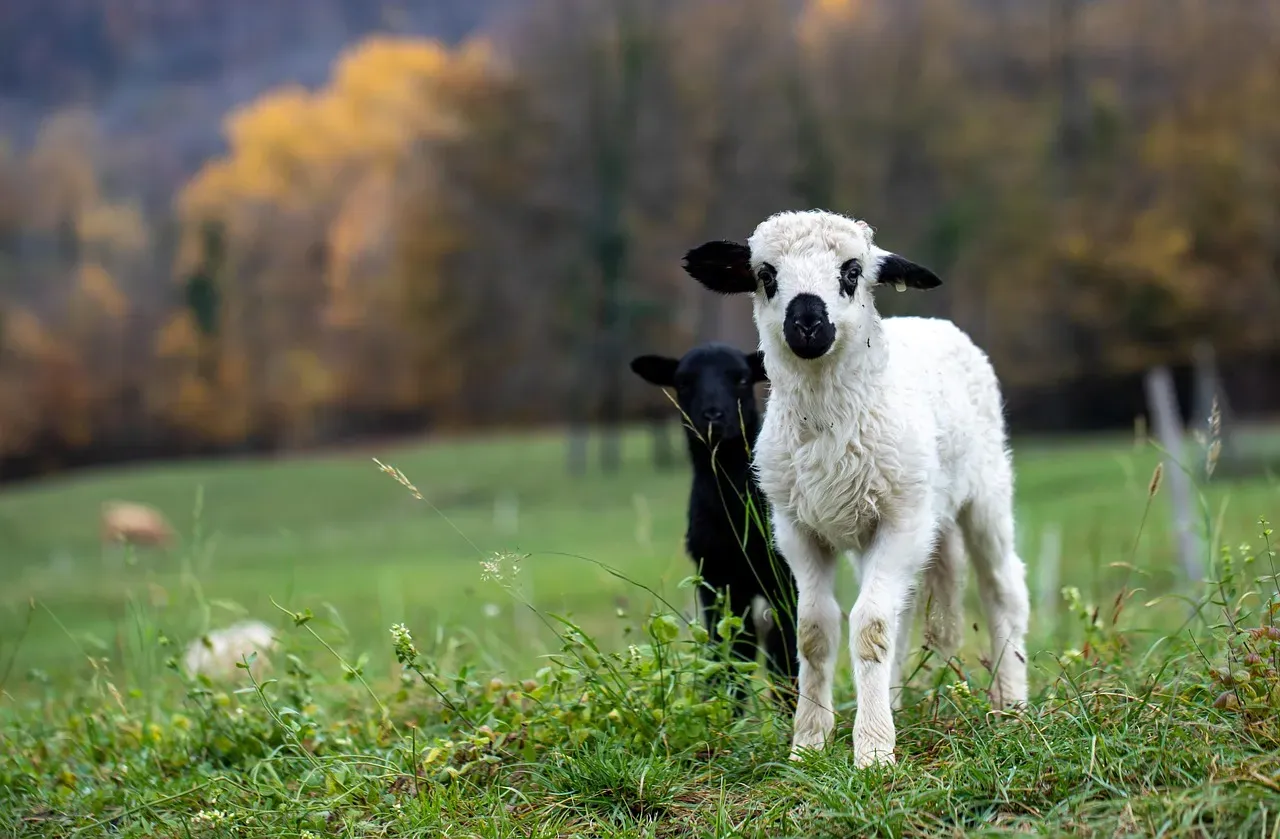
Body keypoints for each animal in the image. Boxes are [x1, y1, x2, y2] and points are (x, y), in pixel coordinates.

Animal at [630, 342, 799, 708]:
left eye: (742, 379)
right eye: (683, 382)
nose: (713, 416)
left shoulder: (784, 579)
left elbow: (786, 649)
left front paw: (791, 708)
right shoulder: (715, 578)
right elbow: (728, 651)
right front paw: (723, 707)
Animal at [681, 210, 1029, 766]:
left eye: (851, 271)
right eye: (765, 274)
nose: (806, 323)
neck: (828, 424)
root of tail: (931, 322)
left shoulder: (902, 520)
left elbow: (869, 628)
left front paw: (872, 752)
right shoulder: (796, 530)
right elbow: (814, 630)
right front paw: (809, 744)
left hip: (985, 491)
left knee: (1002, 588)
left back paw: (1013, 704)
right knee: (905, 612)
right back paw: (897, 702)